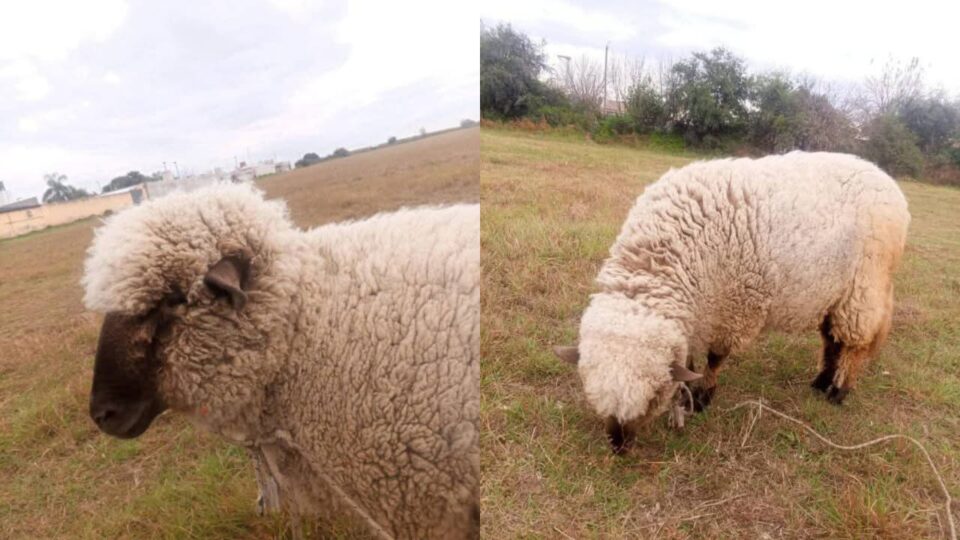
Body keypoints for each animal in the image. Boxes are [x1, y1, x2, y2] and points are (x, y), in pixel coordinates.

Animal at [554, 152, 909, 454]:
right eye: (589, 387)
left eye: (654, 396)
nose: (618, 447)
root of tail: (885, 179)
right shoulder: (698, 312)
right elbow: (690, 357)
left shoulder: (735, 306)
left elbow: (715, 357)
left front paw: (702, 398)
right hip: (833, 293)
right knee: (832, 340)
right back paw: (821, 382)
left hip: (864, 287)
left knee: (854, 344)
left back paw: (838, 391)